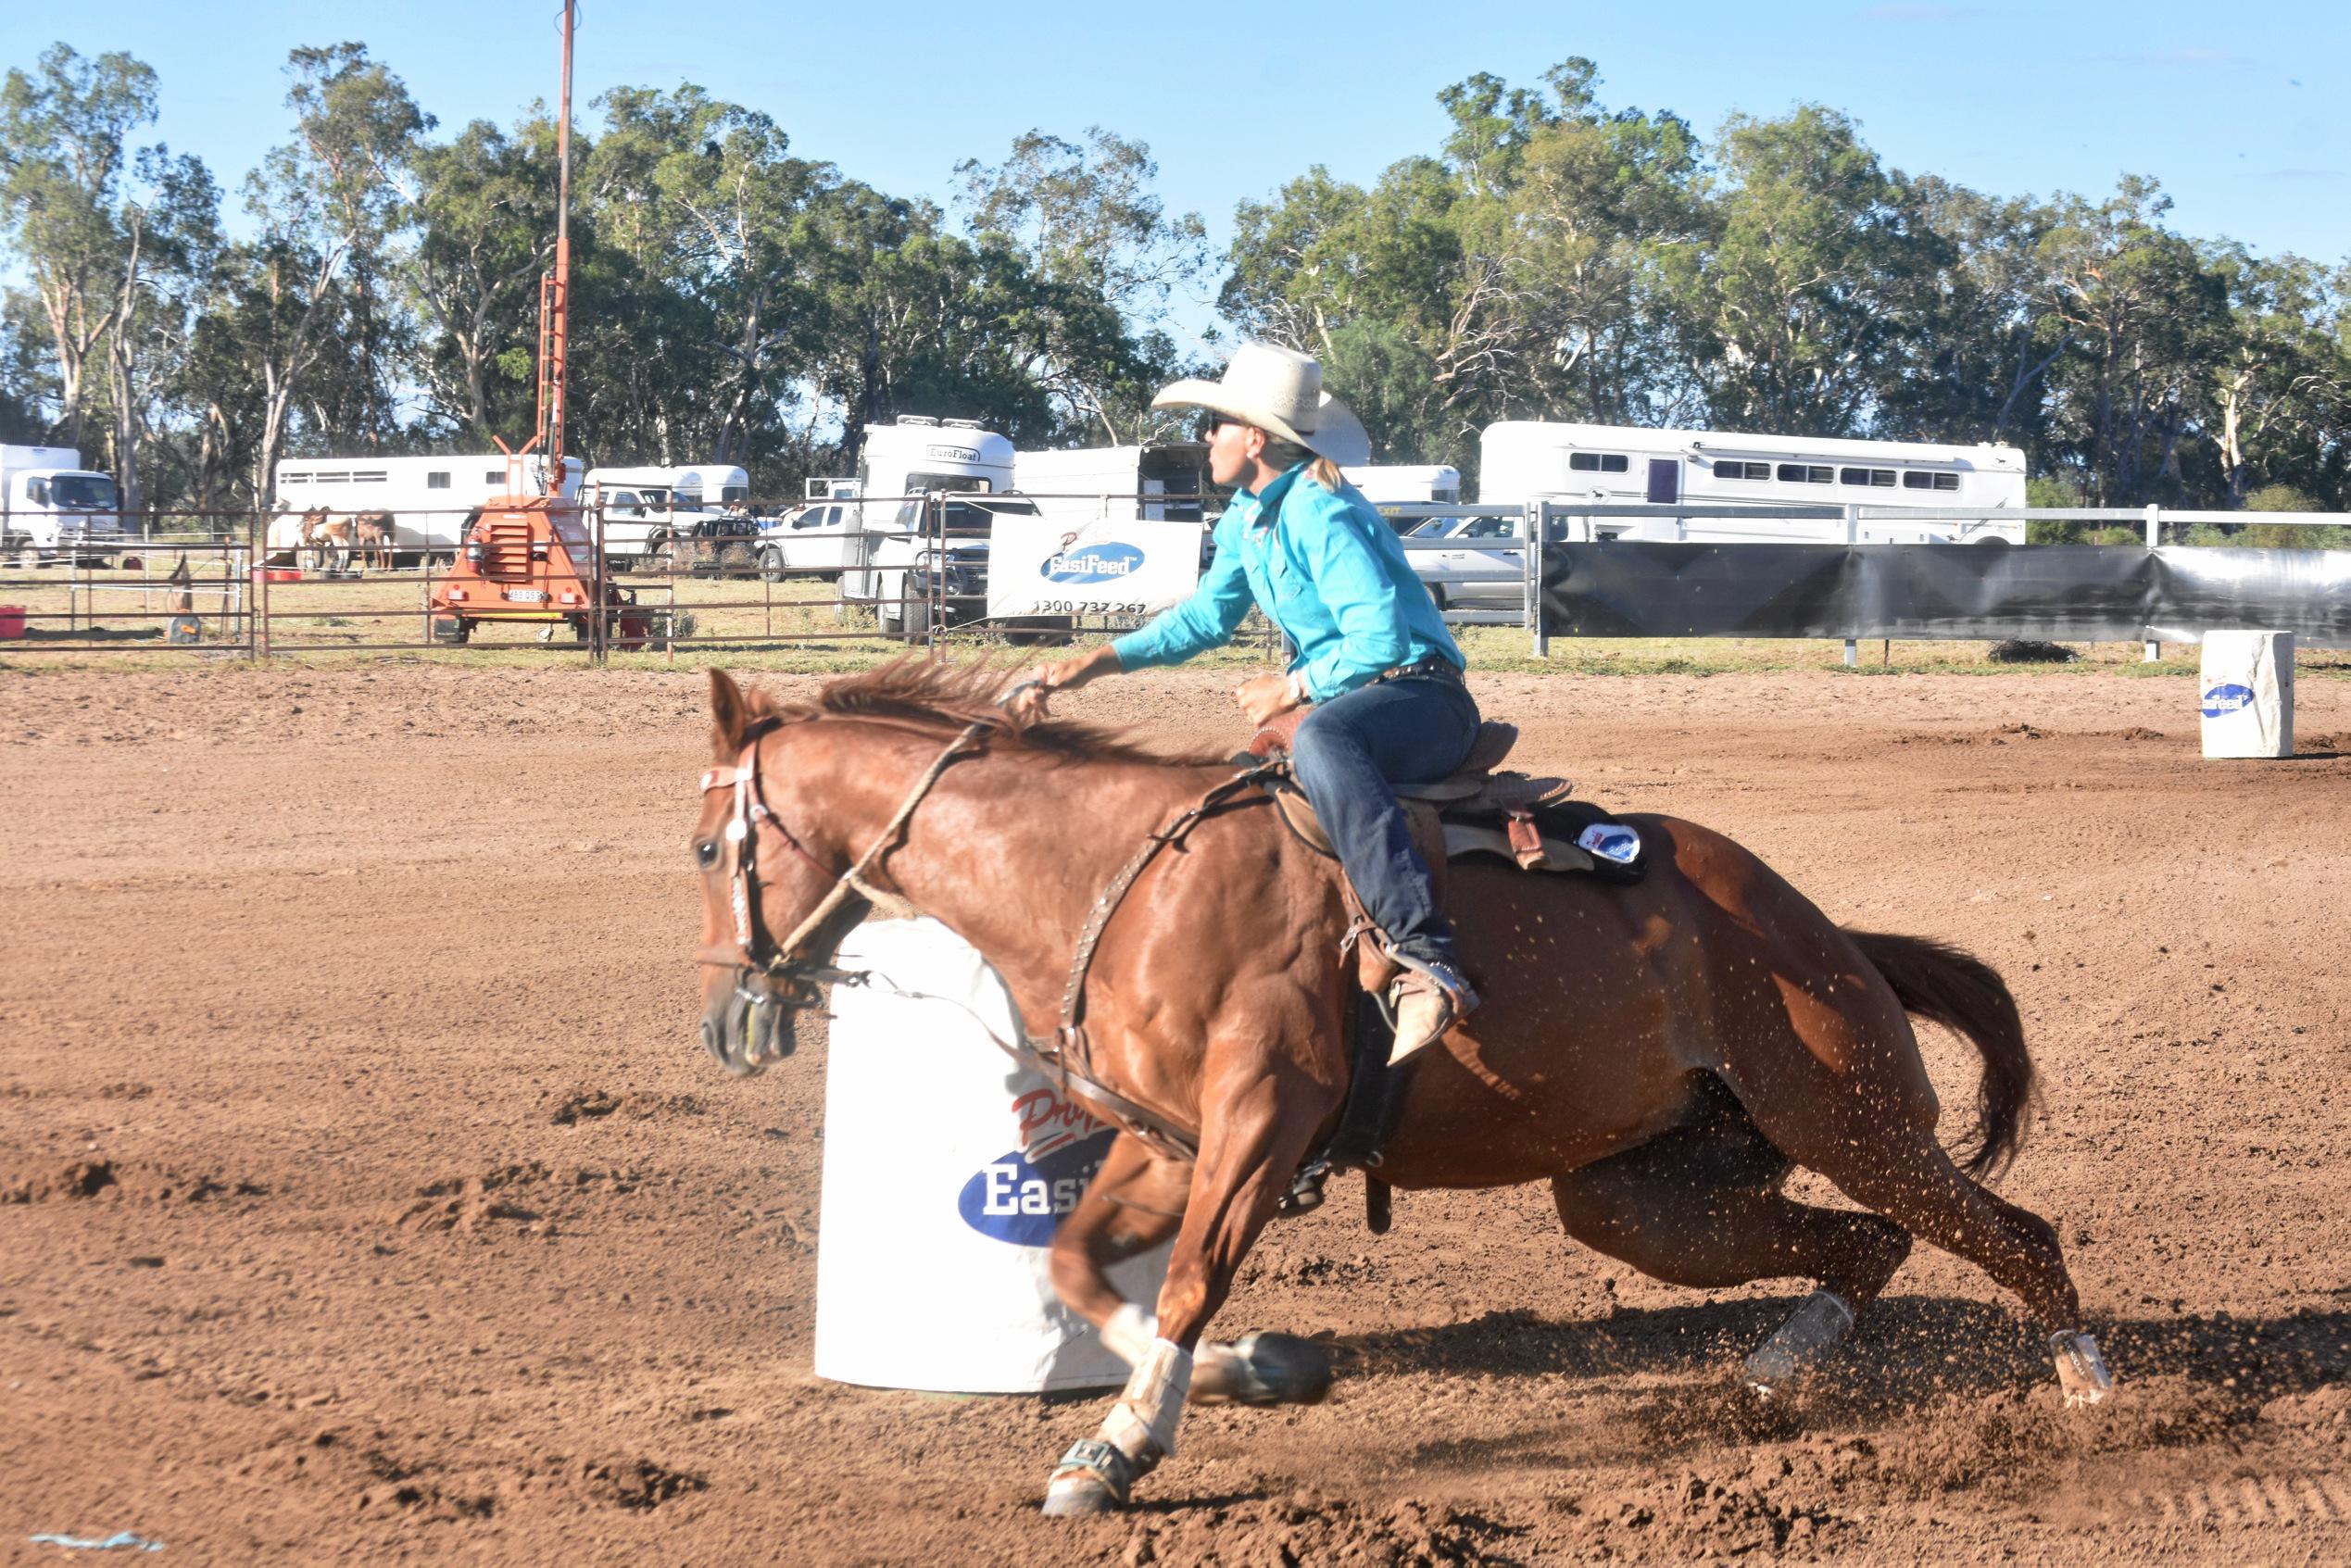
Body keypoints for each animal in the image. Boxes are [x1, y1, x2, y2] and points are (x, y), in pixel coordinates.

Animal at [686, 667, 2125, 1523]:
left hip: (1851, 1115)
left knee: (2014, 1235)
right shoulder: (1170, 1145)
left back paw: (2096, 1399)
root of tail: (1816, 926)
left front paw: (1119, 1444)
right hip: (1643, 1197)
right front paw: (1247, 1374)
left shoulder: (1262, 1123)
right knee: (1865, 1246)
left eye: (707, 846)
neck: (1118, 871)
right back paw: (1768, 1378)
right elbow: (1085, 1269)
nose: (723, 1020)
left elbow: (1187, 1278)